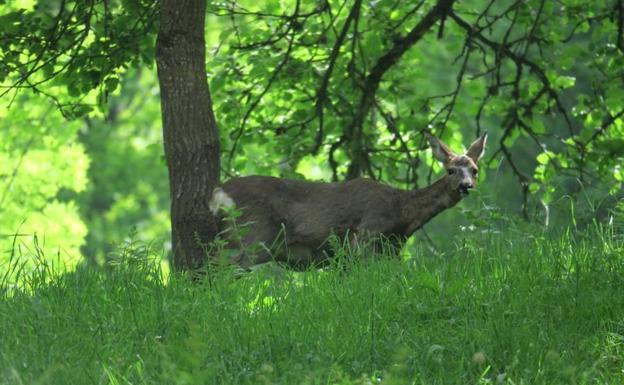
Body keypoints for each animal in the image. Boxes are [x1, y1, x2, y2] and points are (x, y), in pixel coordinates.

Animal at [210, 134, 488, 268]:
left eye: (474, 170)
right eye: (450, 170)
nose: (466, 186)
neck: (402, 214)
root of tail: (220, 190)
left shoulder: (390, 250)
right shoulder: (363, 238)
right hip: (254, 235)